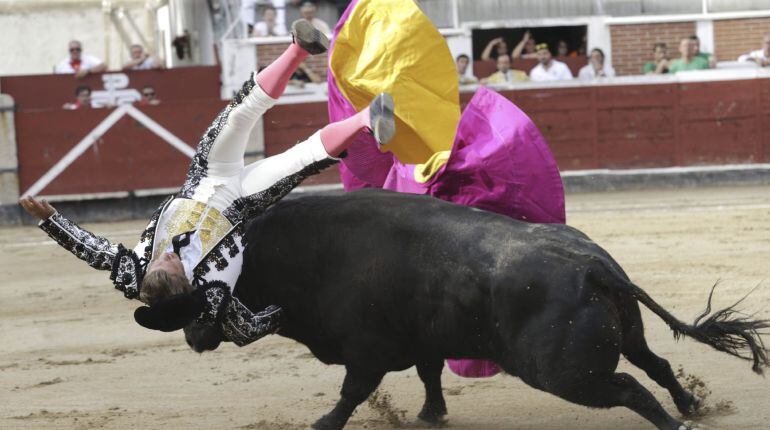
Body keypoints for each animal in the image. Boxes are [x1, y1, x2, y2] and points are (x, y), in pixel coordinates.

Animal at [183, 189, 764, 430]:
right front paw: (431, 415)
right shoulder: (421, 339)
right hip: (627, 333)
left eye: (208, 283)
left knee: (628, 387)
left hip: (560, 372)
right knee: (656, 364)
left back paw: (675, 424)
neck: (307, 252)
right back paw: (690, 407)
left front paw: (323, 423)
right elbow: (430, 374)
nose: (190, 337)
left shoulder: (367, 349)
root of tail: (593, 263)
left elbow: (352, 392)